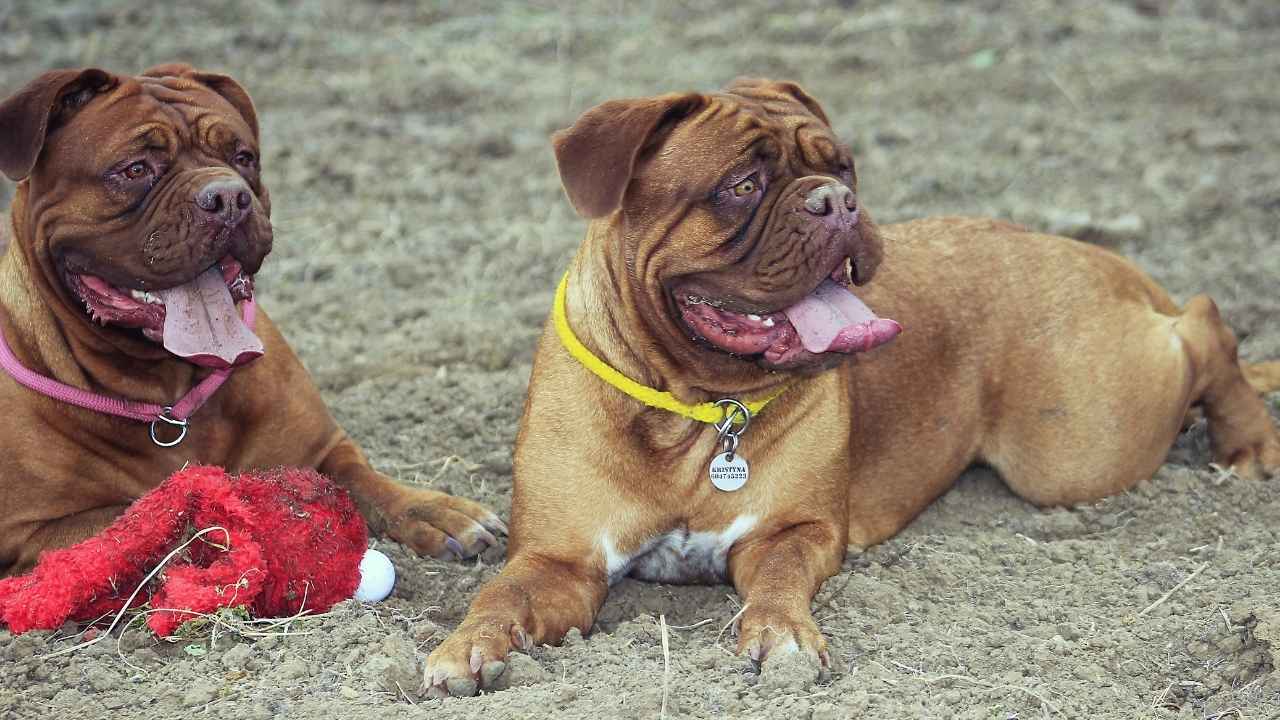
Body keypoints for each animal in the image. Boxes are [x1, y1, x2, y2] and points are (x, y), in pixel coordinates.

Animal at [0, 65, 504, 571]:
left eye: (243, 157)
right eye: (135, 169)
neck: (170, 395)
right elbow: (159, 511)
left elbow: (364, 478)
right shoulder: (32, 532)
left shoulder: (321, 447)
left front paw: (434, 510)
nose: (227, 197)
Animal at [422, 77, 1280, 691]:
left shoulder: (791, 533)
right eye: (741, 184)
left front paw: (781, 637)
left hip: (1077, 444)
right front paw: (466, 647)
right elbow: (499, 597)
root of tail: (1076, 248)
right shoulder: (559, 564)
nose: (837, 200)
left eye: (841, 166)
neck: (692, 406)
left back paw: (1248, 443)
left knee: (1207, 320)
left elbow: (777, 587)